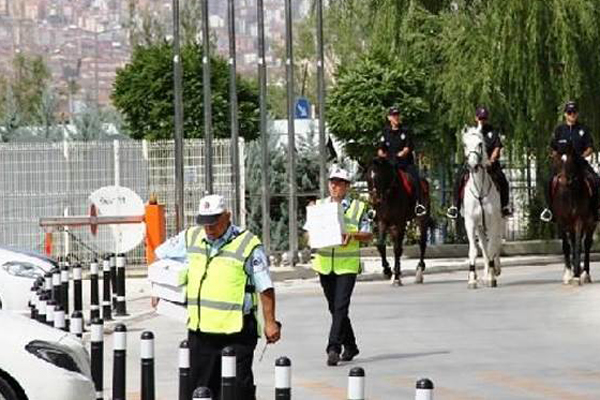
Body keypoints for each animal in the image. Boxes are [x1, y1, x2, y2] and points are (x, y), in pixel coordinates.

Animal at [366, 158, 432, 286]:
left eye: (379, 178)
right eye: (368, 179)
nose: (375, 200)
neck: (390, 193)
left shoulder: (400, 222)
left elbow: (397, 249)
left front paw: (396, 277)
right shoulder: (382, 221)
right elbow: (381, 245)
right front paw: (387, 271)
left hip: (422, 219)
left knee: (422, 243)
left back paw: (419, 272)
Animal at [462, 126, 504, 290]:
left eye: (480, 143)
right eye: (465, 144)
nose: (473, 165)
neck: (479, 189)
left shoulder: (493, 222)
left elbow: (492, 247)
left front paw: (492, 277)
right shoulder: (470, 223)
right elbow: (474, 250)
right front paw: (472, 279)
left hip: (499, 222)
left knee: (495, 244)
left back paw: (494, 270)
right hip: (480, 227)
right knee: (484, 248)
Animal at [552, 145, 596, 284]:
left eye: (571, 162)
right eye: (558, 161)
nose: (563, 181)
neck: (570, 193)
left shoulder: (579, 220)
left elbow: (578, 245)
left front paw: (576, 274)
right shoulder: (561, 221)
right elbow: (566, 245)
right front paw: (568, 274)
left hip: (591, 223)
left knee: (586, 244)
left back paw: (585, 273)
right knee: (573, 242)